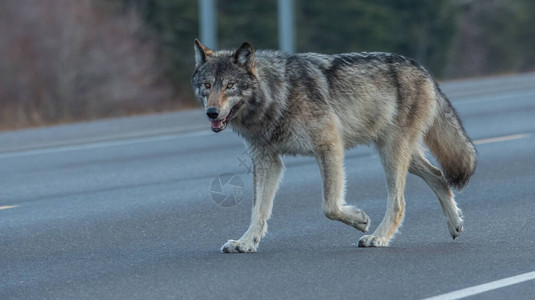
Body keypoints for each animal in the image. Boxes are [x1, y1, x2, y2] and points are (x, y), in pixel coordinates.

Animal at [192, 38, 478, 252]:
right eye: (207, 85)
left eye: (230, 86)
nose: (211, 113)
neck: (276, 96)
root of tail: (423, 70)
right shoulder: (267, 160)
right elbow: (258, 210)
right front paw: (246, 242)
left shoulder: (329, 145)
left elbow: (329, 206)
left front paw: (360, 220)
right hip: (401, 155)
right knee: (438, 175)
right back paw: (455, 224)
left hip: (392, 154)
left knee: (399, 202)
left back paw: (378, 237)